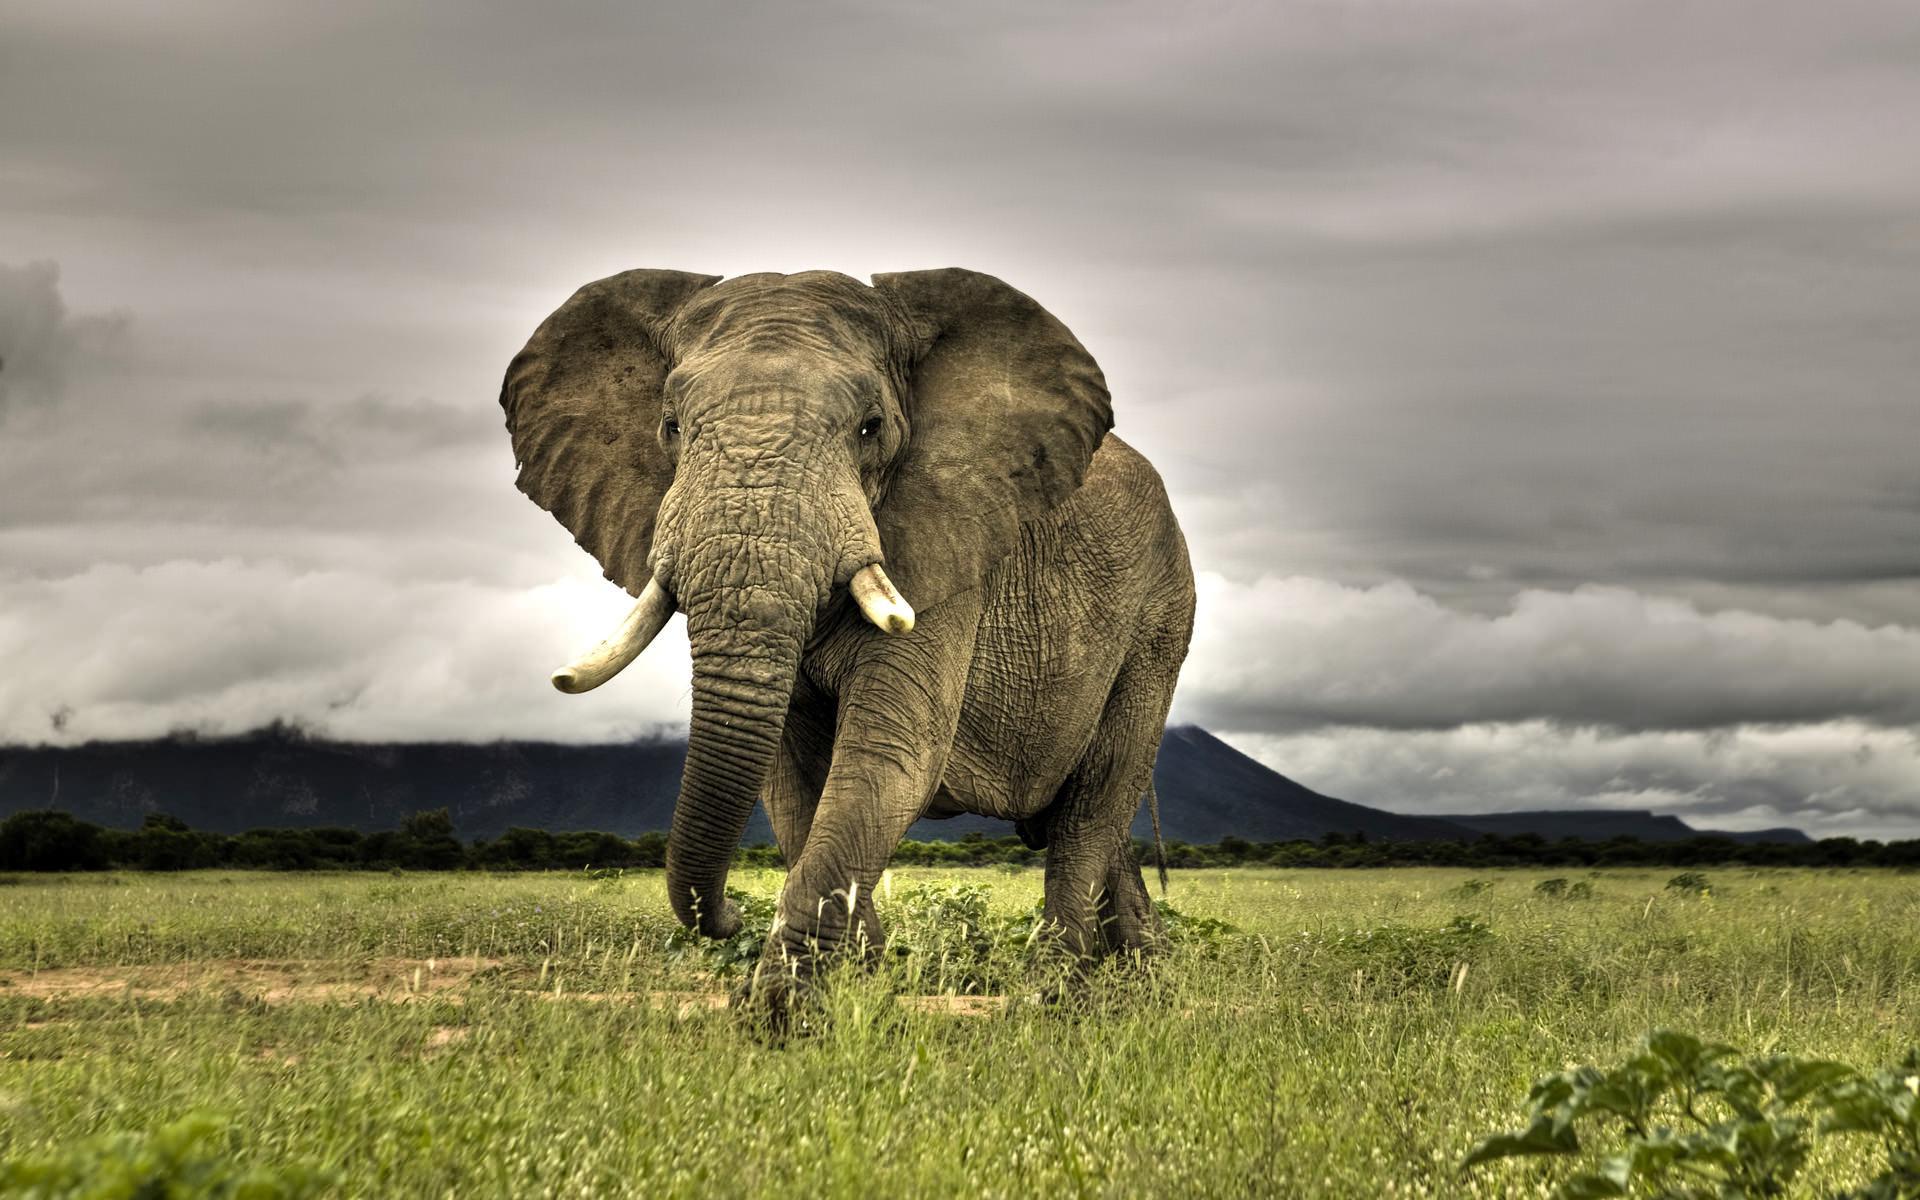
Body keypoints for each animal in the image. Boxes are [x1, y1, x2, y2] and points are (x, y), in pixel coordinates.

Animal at [500, 267, 1194, 1011]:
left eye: (871, 428)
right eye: (671, 427)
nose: (729, 915)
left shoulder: (946, 549)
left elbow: (889, 756)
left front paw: (781, 1014)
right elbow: (791, 781)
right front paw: (859, 986)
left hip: (1159, 619)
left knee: (1091, 808)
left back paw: (1055, 997)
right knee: (1097, 824)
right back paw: (1145, 978)